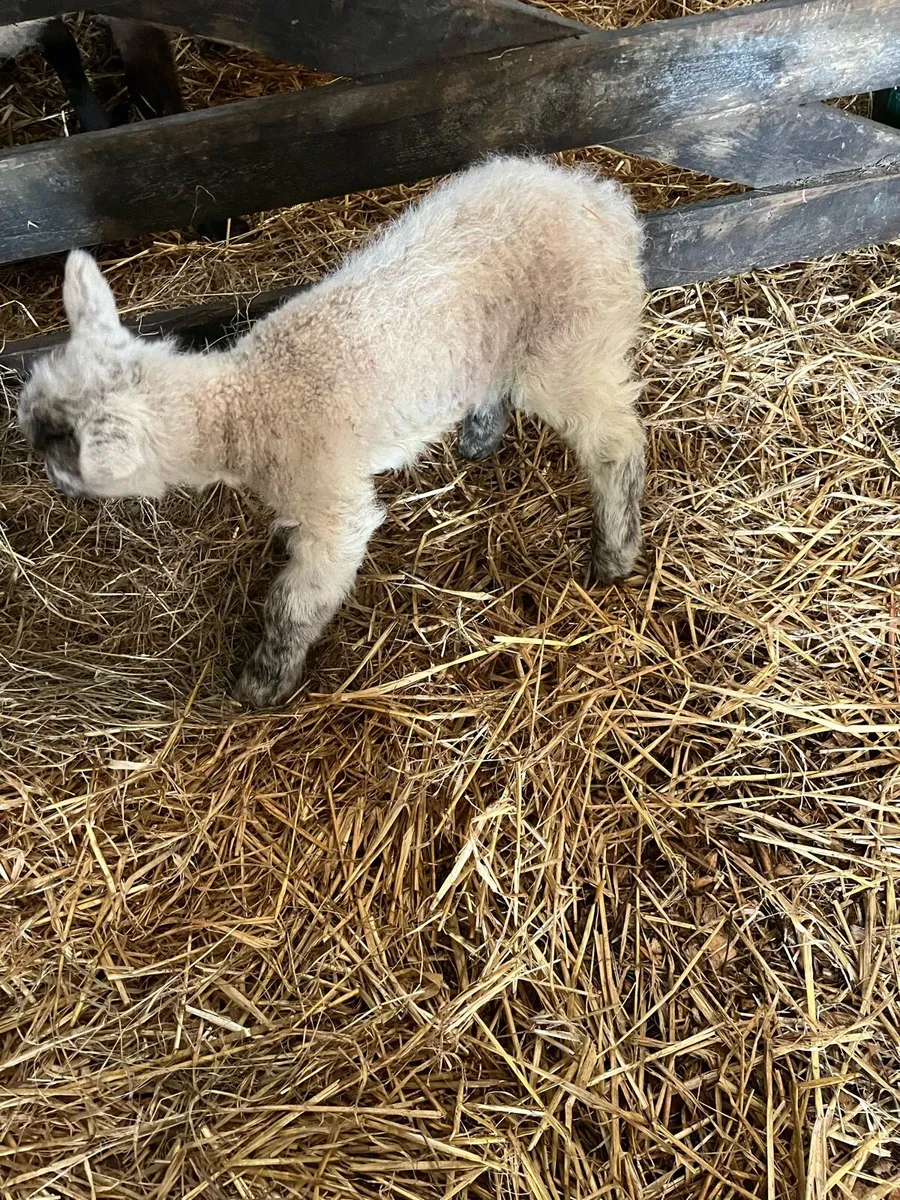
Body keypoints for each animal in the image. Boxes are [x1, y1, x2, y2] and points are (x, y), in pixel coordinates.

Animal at [17, 155, 646, 708]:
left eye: (57, 446)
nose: (46, 475)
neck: (244, 404)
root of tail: (605, 201)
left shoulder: (332, 509)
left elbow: (293, 604)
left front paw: (262, 685)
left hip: (571, 343)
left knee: (617, 441)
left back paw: (615, 553)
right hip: (498, 335)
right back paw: (480, 437)